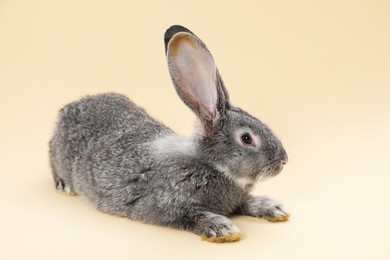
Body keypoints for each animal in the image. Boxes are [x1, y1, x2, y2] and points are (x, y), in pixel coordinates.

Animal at [49, 25, 290, 243]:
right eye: (247, 138)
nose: (283, 160)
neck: (210, 164)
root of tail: (69, 108)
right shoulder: (169, 206)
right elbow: (192, 216)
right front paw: (223, 228)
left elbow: (246, 202)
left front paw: (274, 208)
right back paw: (65, 187)